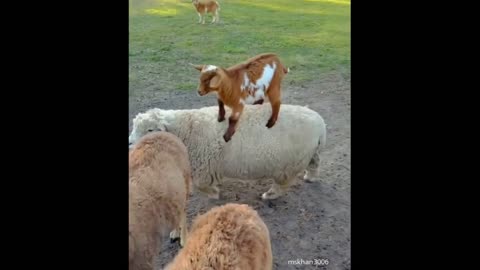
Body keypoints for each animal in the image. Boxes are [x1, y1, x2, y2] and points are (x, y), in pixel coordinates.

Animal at [129, 104, 326, 200]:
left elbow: (201, 186)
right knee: (315, 164)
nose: (130, 143)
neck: (185, 130)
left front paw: (214, 194)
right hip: (310, 153)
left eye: (150, 130)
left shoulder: (202, 168)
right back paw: (310, 178)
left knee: (282, 185)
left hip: (288, 165)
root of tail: (320, 123)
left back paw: (269, 195)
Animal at [131, 131, 193, 270]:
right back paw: (175, 232)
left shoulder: (143, 256)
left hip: (185, 181)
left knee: (183, 212)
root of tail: (160, 132)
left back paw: (184, 239)